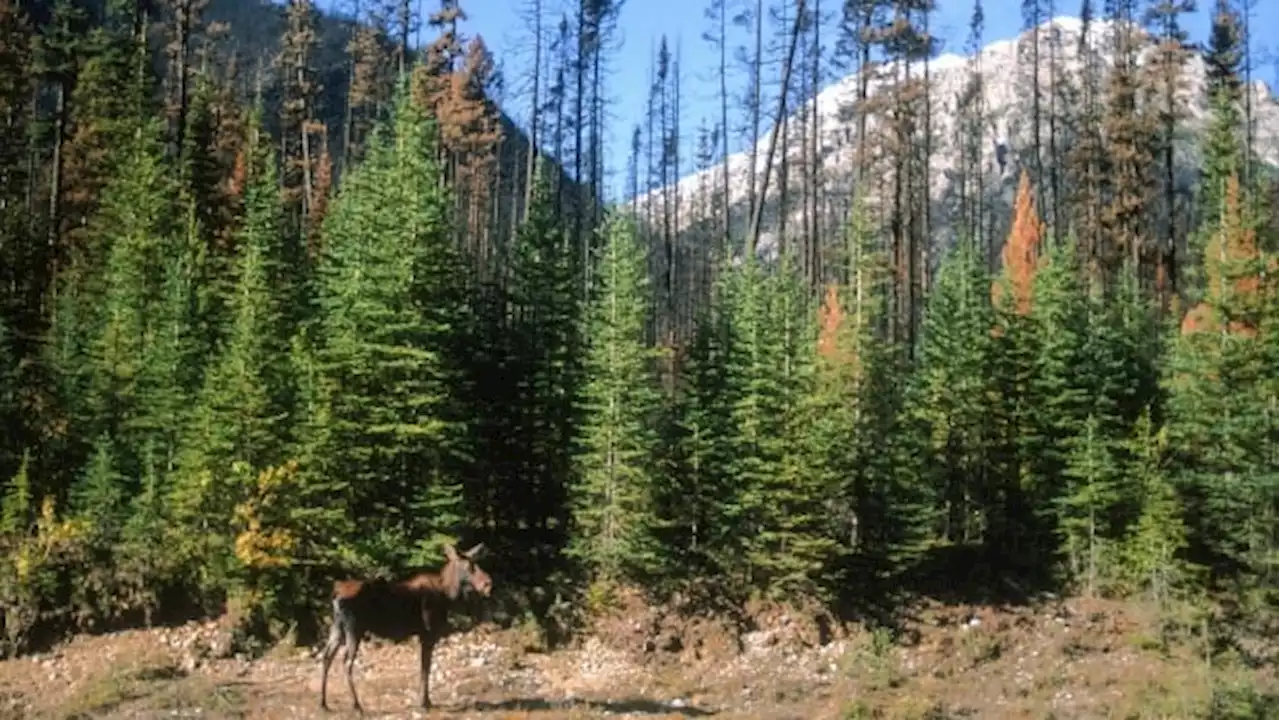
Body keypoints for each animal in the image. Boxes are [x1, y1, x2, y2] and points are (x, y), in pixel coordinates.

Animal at [320, 540, 494, 707]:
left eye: (476, 563)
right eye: (469, 566)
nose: (488, 584)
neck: (448, 595)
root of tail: (335, 594)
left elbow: (424, 667)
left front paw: (424, 700)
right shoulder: (428, 633)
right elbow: (426, 667)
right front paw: (424, 702)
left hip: (337, 627)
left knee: (326, 656)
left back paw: (323, 703)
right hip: (354, 628)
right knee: (346, 662)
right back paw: (356, 705)